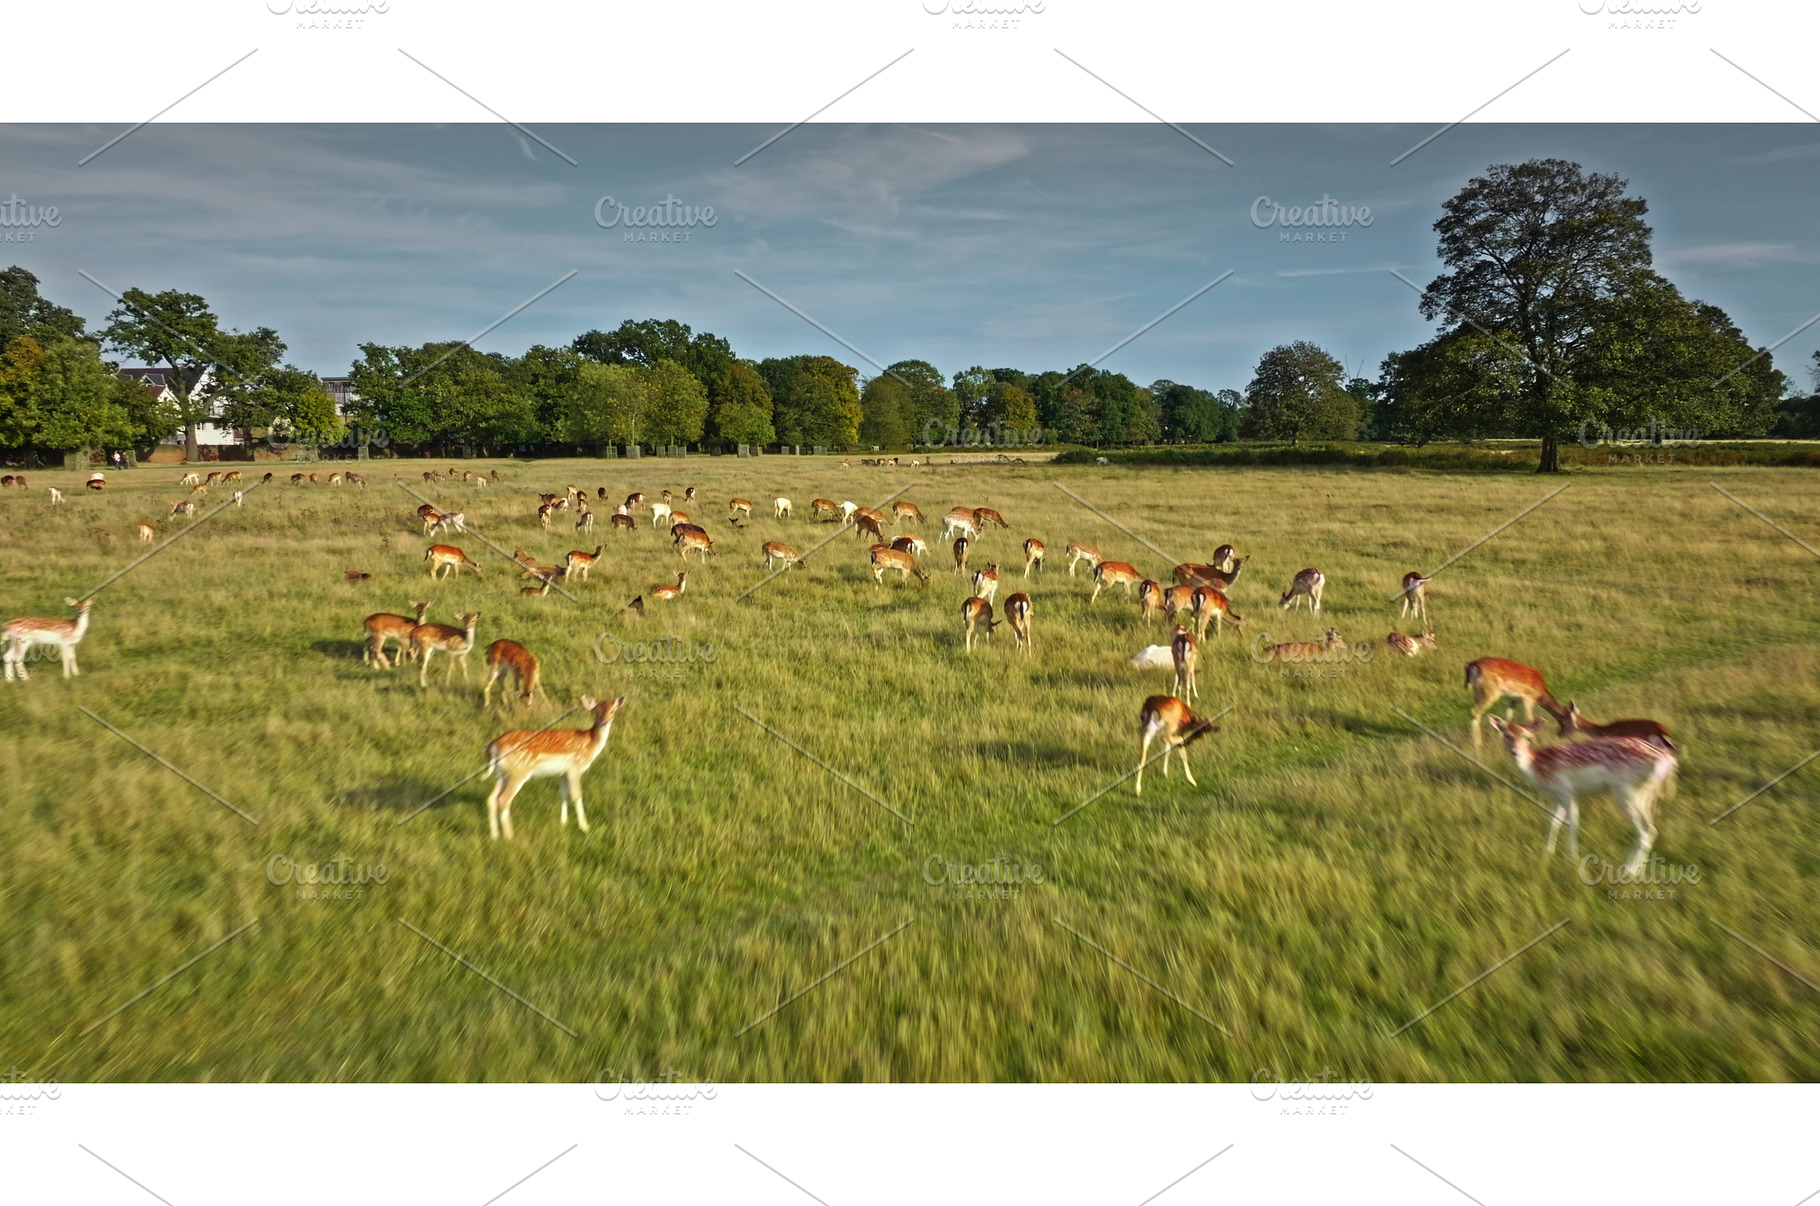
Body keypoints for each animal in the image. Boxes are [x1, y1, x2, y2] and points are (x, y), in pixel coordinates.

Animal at [485, 695, 625, 839]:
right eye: (596, 711)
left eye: (613, 711)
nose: (604, 722)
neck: (590, 745)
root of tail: (494, 746)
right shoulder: (575, 768)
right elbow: (577, 795)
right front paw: (585, 827)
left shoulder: (563, 773)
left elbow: (563, 794)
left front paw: (563, 823)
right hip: (519, 771)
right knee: (503, 799)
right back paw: (509, 836)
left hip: (502, 773)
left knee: (491, 798)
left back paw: (495, 835)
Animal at [1487, 716, 1677, 877]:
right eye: (1506, 735)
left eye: (1528, 737)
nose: (1515, 752)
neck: (1537, 768)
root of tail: (1667, 761)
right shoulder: (1555, 797)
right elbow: (1553, 822)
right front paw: (1546, 855)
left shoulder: (1567, 791)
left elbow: (1572, 824)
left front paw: (1572, 861)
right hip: (1645, 792)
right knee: (1651, 829)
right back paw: (1637, 871)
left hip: (1625, 789)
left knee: (1645, 829)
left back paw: (1628, 872)